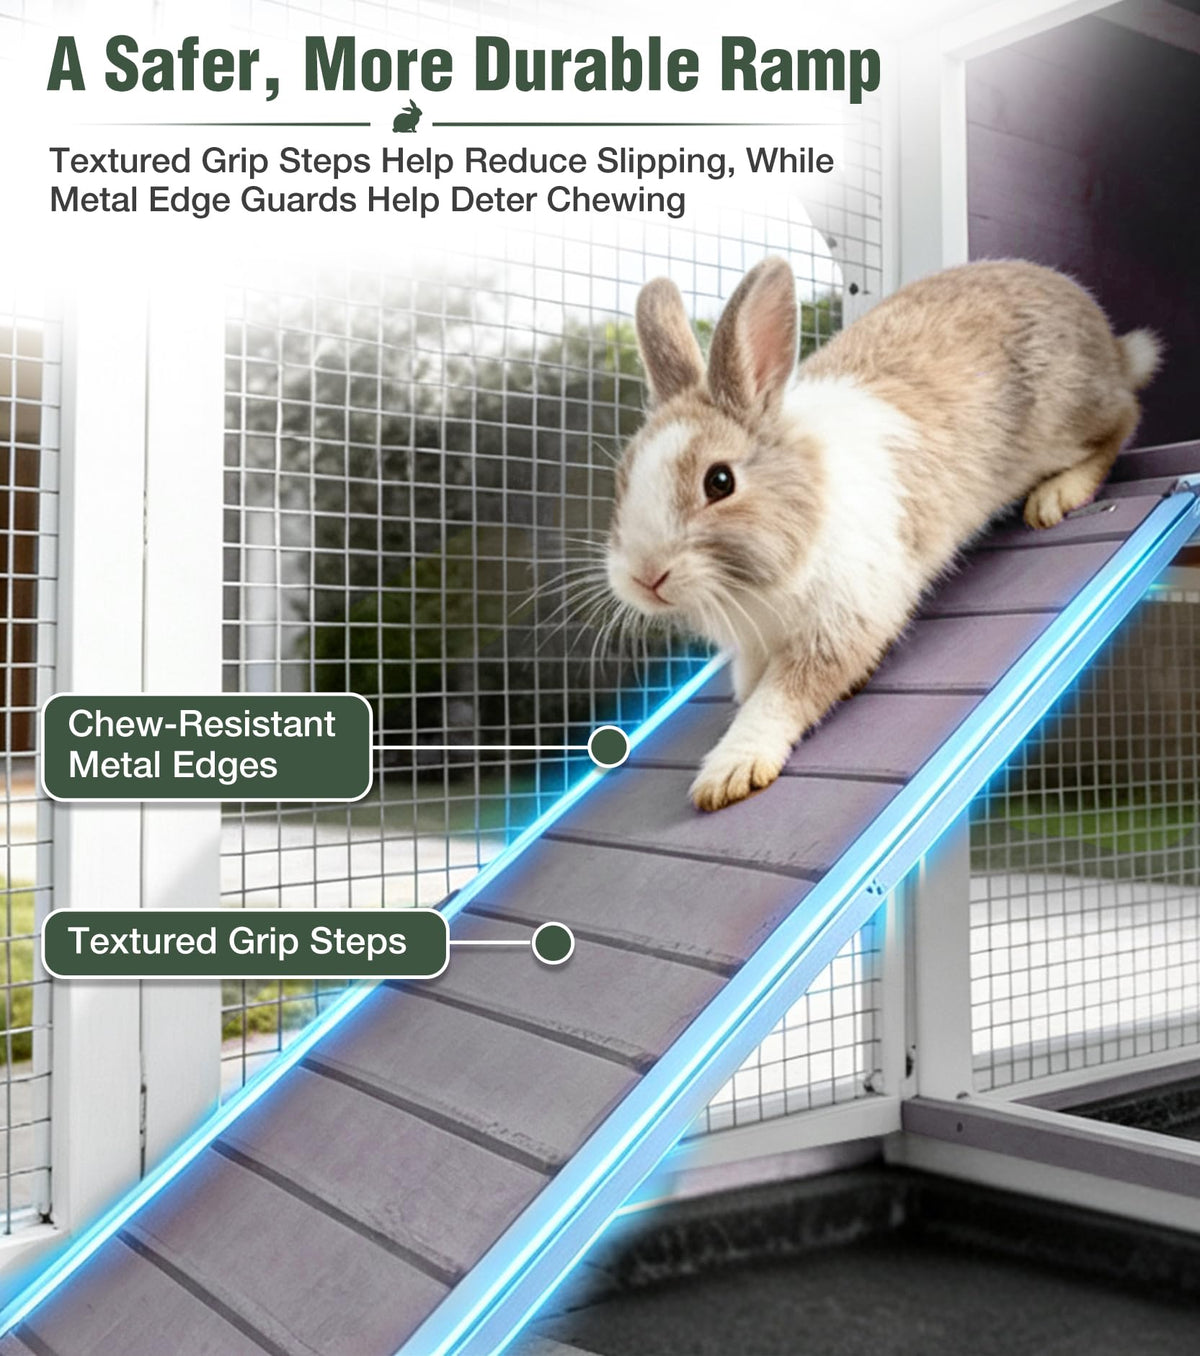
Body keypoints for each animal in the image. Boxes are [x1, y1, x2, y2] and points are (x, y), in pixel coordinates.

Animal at [605, 257, 1161, 812]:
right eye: (623, 477)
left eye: (719, 481)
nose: (644, 577)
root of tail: (1105, 338)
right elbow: (753, 683)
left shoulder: (842, 619)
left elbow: (781, 698)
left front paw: (729, 773)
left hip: (1065, 419)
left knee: (1123, 420)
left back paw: (1057, 495)